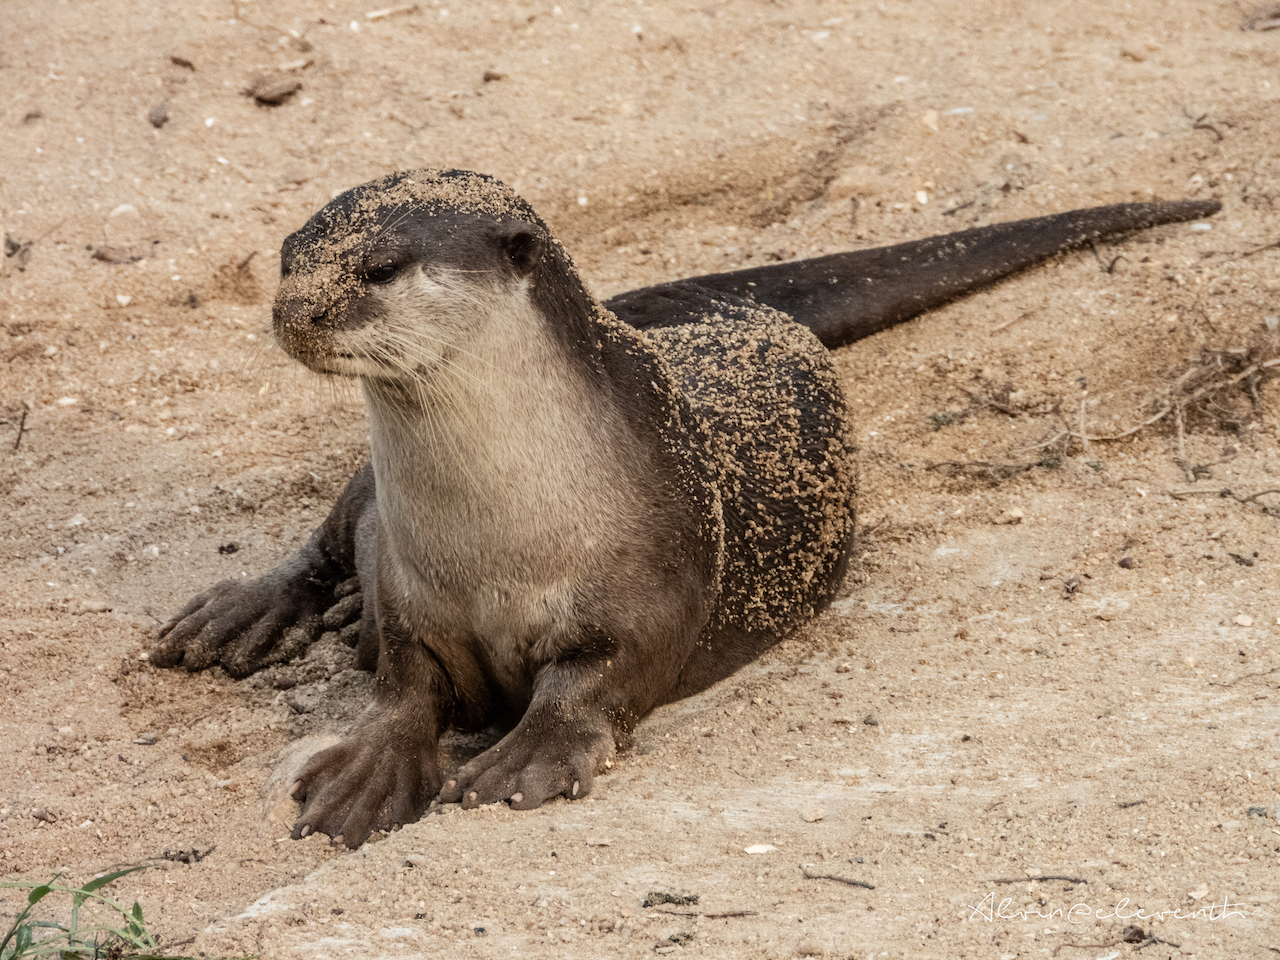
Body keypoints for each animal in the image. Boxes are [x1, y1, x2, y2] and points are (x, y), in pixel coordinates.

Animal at [152, 168, 1218, 844]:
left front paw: (524, 761)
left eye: (379, 267)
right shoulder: (408, 583)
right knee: (330, 538)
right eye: (288, 255)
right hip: (365, 496)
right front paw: (368, 773)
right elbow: (404, 678)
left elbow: (599, 676)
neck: (498, 541)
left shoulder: (657, 581)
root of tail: (728, 306)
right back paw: (243, 616)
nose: (292, 310)